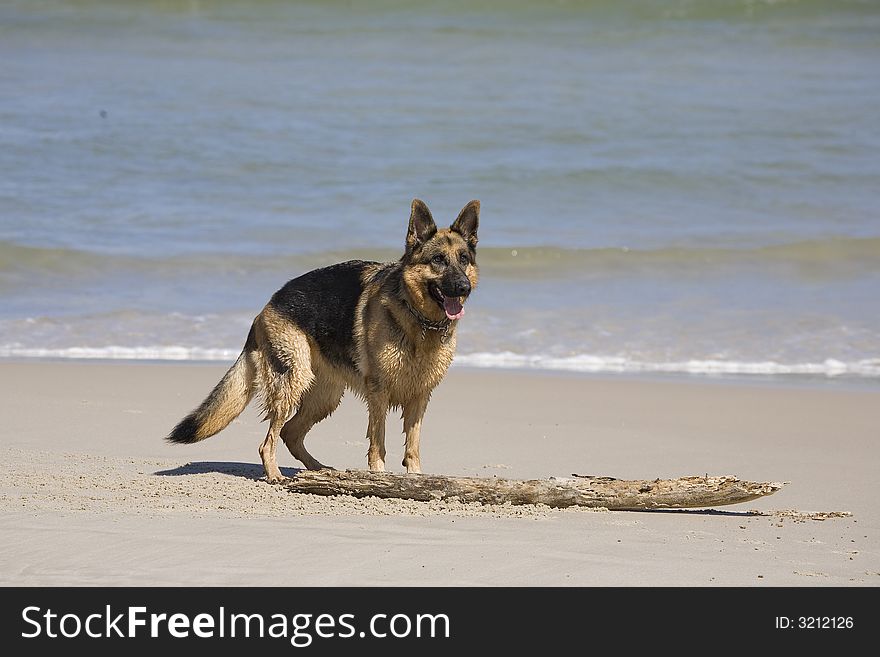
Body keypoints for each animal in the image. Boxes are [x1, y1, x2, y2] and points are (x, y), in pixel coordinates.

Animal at [165, 197, 482, 480]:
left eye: (463, 259)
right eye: (438, 260)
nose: (463, 288)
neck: (418, 320)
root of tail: (267, 305)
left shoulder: (419, 396)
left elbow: (412, 446)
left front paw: (415, 478)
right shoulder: (378, 394)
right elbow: (377, 442)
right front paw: (379, 477)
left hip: (324, 397)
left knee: (291, 433)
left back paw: (319, 471)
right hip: (293, 383)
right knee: (269, 440)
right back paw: (275, 475)